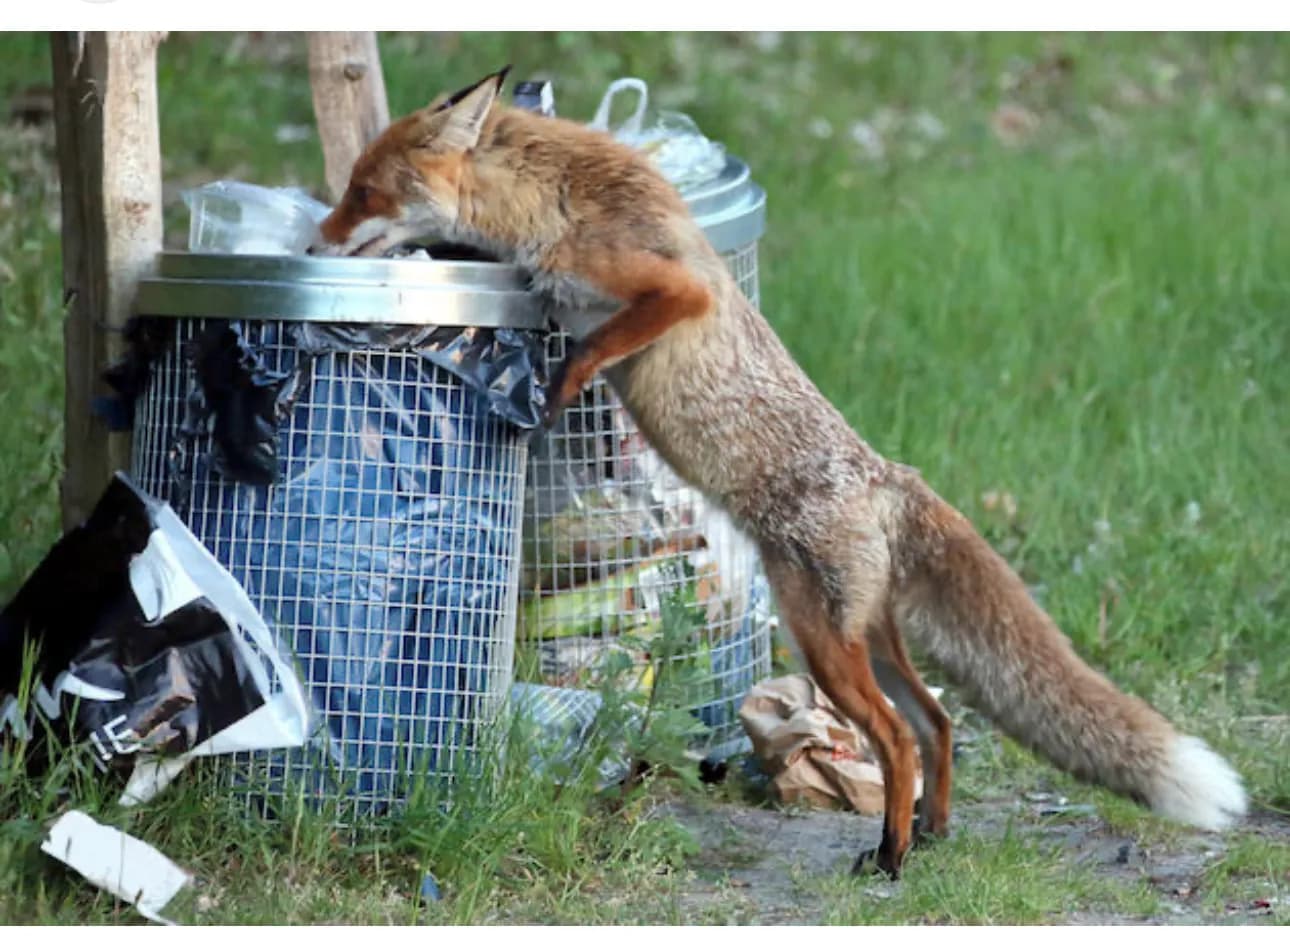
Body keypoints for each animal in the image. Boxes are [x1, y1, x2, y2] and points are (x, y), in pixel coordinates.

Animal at [313, 68, 1248, 877]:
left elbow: (591, 348)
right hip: (867, 637)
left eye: (364, 190)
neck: (557, 200)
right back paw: (934, 832)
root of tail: (887, 476)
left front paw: (555, 394)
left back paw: (890, 856)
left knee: (896, 737)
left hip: (822, 640)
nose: (317, 239)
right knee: (940, 721)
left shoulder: (670, 290)